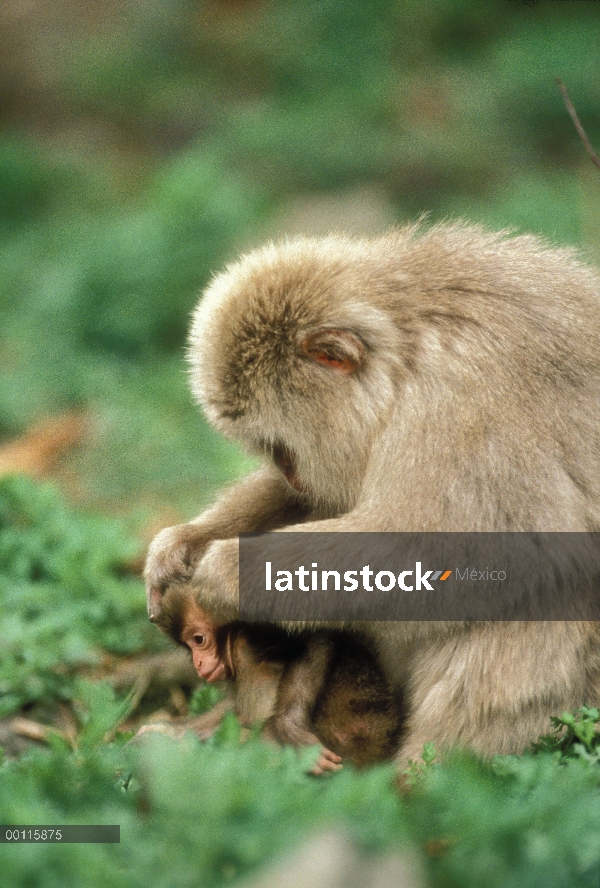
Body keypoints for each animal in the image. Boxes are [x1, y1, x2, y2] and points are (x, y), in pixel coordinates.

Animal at [150, 588, 404, 772]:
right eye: (188, 646)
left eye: (199, 639)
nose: (198, 663)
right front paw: (168, 731)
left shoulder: (251, 638)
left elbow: (317, 637)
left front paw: (290, 727)